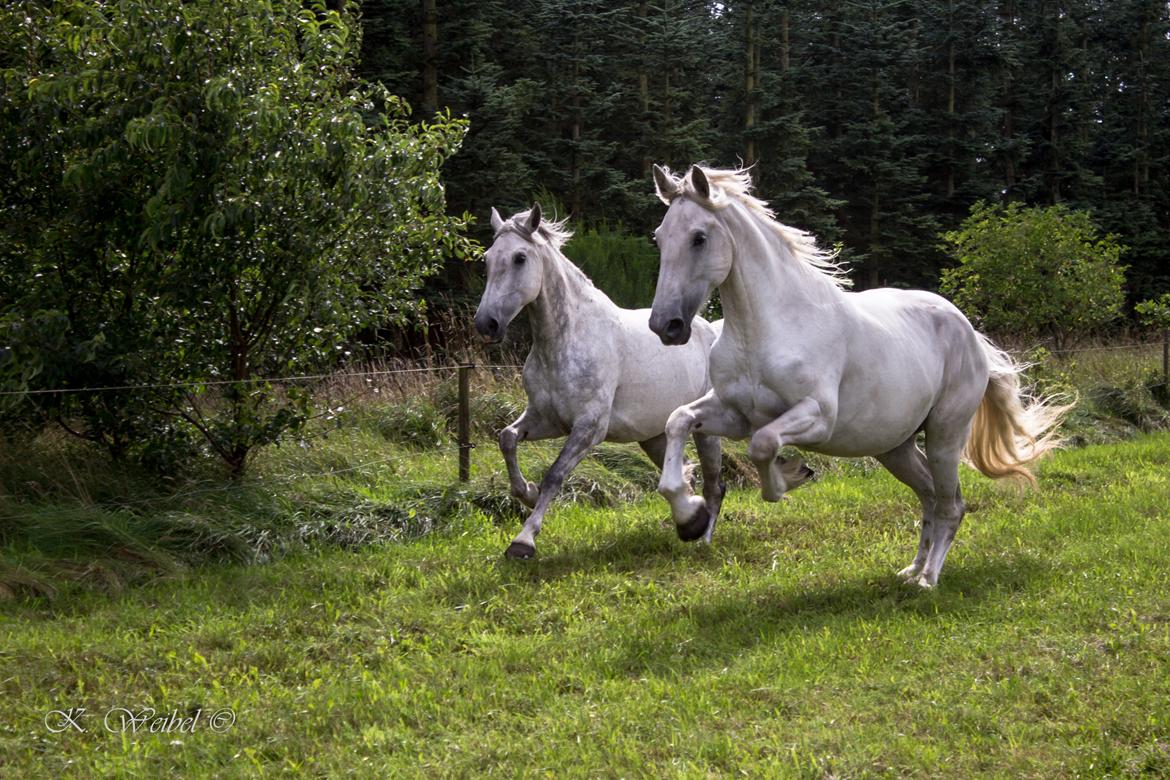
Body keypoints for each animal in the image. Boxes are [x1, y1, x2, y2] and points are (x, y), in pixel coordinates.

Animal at [472, 205, 725, 561]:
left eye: (520, 257)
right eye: (487, 259)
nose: (487, 324)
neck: (565, 339)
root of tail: (711, 331)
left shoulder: (590, 427)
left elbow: (555, 475)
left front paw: (523, 541)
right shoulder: (546, 418)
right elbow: (507, 438)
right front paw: (527, 492)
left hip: (705, 428)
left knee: (715, 484)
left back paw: (702, 538)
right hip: (653, 435)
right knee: (684, 471)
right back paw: (689, 519)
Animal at [650, 168, 1071, 589]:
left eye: (699, 237)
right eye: (659, 236)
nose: (665, 326)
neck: (768, 327)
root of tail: (968, 331)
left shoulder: (817, 416)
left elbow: (763, 445)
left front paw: (790, 476)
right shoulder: (735, 413)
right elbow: (678, 421)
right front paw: (690, 518)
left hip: (945, 436)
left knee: (951, 505)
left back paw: (928, 580)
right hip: (894, 447)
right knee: (930, 496)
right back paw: (911, 570)